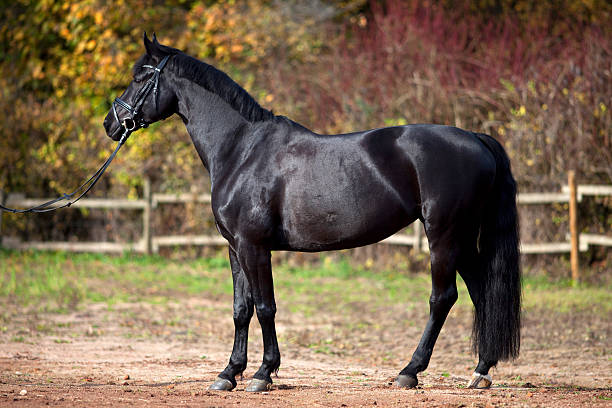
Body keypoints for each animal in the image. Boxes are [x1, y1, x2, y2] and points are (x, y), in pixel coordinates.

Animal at [103, 35, 520, 392]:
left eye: (140, 77)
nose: (111, 123)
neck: (242, 151)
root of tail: (475, 138)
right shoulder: (235, 248)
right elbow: (241, 309)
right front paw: (228, 373)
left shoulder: (254, 247)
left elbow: (265, 307)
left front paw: (263, 373)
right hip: (460, 238)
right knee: (480, 292)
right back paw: (480, 371)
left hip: (444, 235)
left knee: (443, 298)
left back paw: (410, 372)